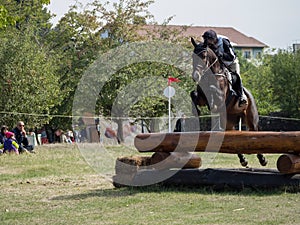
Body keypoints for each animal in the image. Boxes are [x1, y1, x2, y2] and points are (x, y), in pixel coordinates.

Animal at [190, 37, 268, 167]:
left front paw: (212, 104)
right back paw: (243, 160)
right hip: (228, 122)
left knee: (255, 133)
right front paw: (196, 111)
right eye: (193, 56)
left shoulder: (221, 96)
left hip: (251, 119)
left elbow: (213, 90)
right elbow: (193, 94)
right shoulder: (201, 98)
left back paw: (262, 159)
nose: (195, 76)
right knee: (231, 138)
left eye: (204, 55)